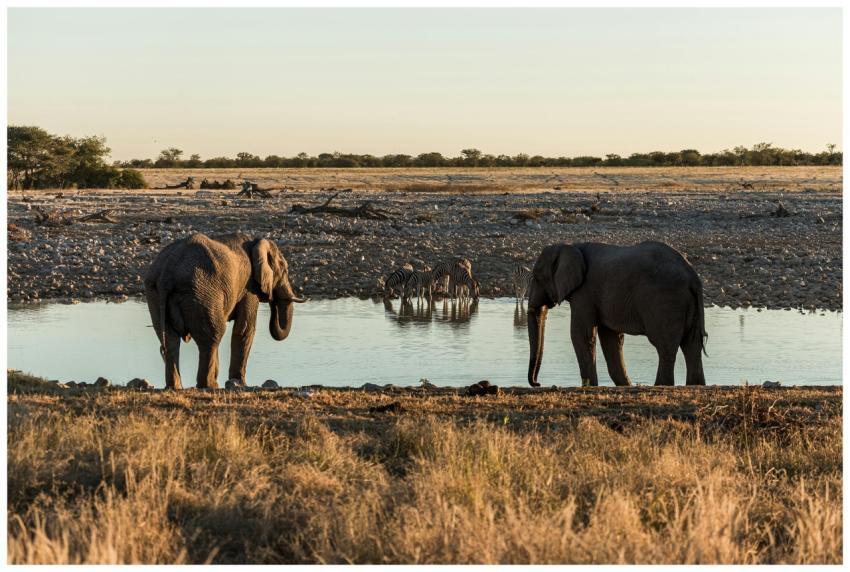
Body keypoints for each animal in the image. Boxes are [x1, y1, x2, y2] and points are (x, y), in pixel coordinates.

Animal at [144, 233, 306, 389]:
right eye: (284, 269)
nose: (271, 297)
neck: (255, 242)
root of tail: (167, 272)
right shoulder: (248, 287)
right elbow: (245, 329)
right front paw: (241, 383)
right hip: (201, 292)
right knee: (213, 336)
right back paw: (209, 385)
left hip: (155, 293)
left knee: (170, 340)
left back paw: (176, 386)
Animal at [527, 241, 707, 387]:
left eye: (536, 277)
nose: (538, 383)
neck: (570, 246)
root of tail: (693, 277)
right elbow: (611, 338)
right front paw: (625, 386)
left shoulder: (584, 292)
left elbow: (581, 334)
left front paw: (591, 387)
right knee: (692, 344)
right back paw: (695, 385)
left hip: (664, 301)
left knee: (665, 345)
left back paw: (662, 385)